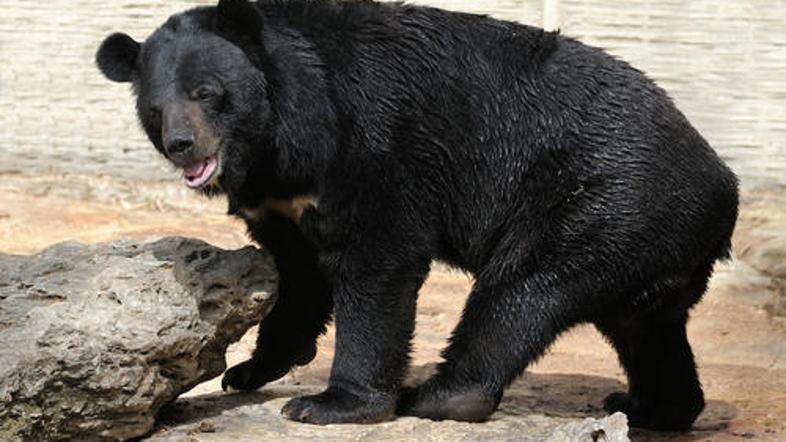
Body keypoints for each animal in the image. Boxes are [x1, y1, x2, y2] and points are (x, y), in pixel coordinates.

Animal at [96, 0, 736, 430]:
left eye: (208, 94)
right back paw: (652, 405)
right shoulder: (282, 198)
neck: (276, 142)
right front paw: (249, 370)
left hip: (597, 202)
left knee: (522, 293)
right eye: (155, 108)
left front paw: (328, 403)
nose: (183, 145)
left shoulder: (370, 142)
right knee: (645, 328)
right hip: (641, 242)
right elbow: (298, 275)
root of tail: (724, 188)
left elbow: (379, 257)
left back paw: (437, 395)